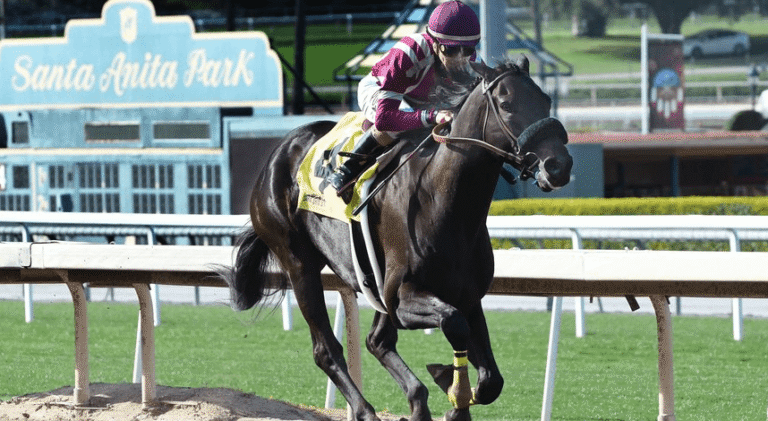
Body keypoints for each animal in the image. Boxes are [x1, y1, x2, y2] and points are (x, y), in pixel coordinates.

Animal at [222, 57, 573, 421]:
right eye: (505, 103)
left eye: (546, 100)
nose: (558, 166)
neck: (444, 202)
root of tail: (278, 153)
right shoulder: (403, 297)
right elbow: (453, 323)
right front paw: (450, 385)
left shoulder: (466, 295)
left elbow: (491, 379)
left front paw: (454, 398)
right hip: (299, 265)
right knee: (326, 349)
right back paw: (366, 410)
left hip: (373, 283)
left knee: (377, 341)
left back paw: (417, 399)